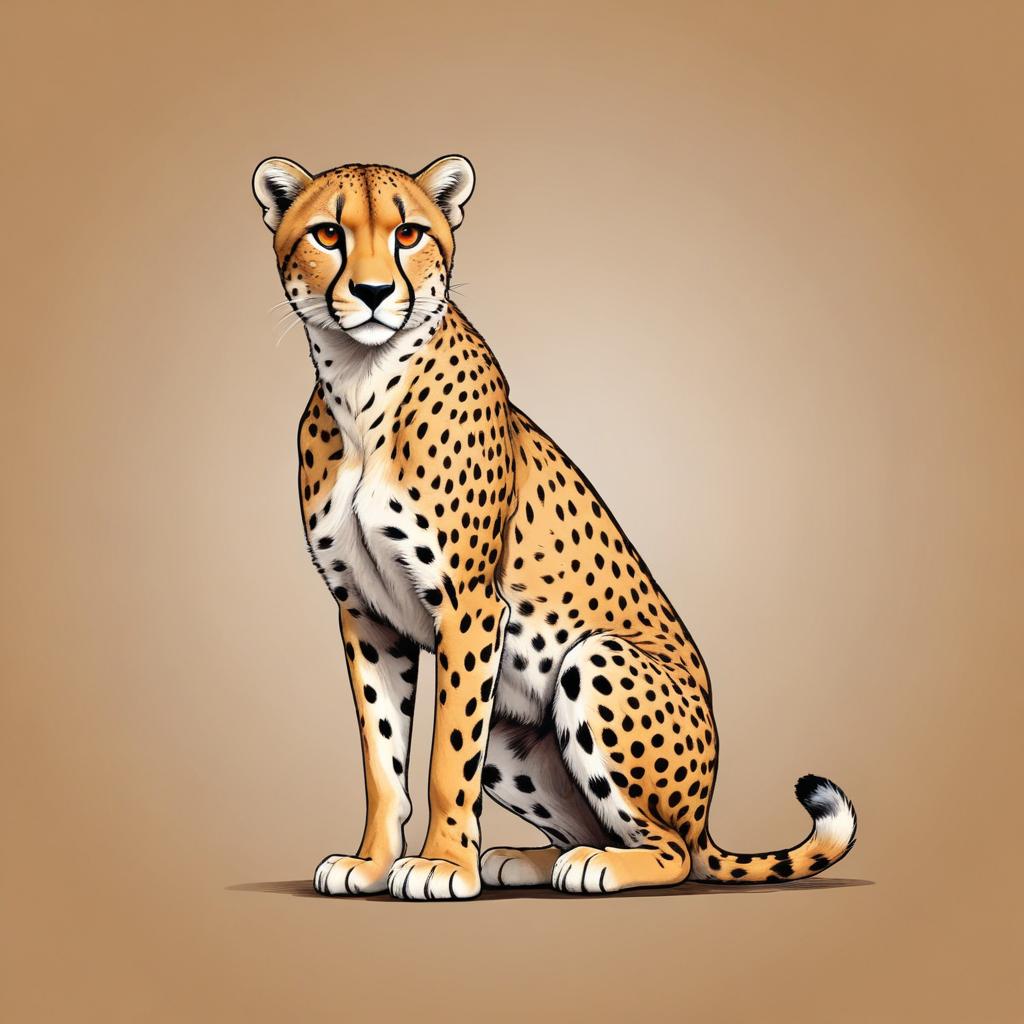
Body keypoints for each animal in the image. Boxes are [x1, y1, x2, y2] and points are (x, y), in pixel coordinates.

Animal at [251, 153, 857, 900]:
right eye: (329, 233)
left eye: (409, 233)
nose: (370, 292)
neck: (362, 384)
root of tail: (708, 819)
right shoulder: (365, 615)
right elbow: (382, 758)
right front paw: (370, 863)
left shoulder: (470, 607)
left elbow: (445, 757)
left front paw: (439, 865)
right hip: (513, 741)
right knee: (600, 827)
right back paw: (527, 859)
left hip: (594, 659)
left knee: (671, 852)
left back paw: (594, 866)